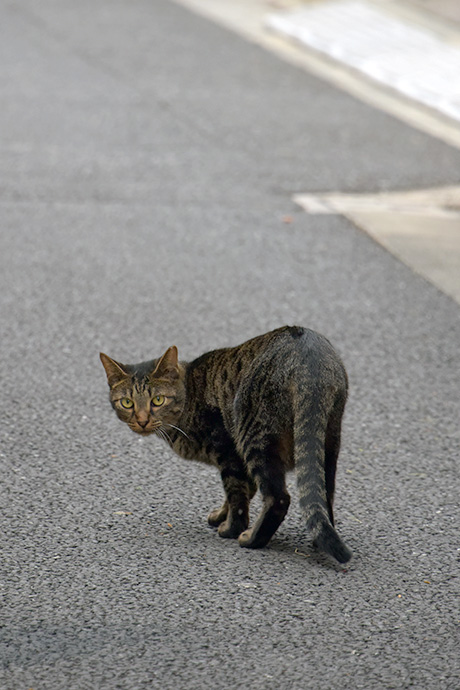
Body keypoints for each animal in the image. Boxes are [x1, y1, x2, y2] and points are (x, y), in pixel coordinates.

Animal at [100, 326, 352, 560]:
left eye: (158, 400)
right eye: (127, 403)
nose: (142, 421)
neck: (189, 394)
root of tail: (308, 359)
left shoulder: (229, 452)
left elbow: (236, 495)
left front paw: (231, 527)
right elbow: (243, 492)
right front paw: (221, 515)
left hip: (255, 436)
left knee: (279, 497)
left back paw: (252, 539)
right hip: (327, 443)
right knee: (323, 495)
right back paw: (321, 539)